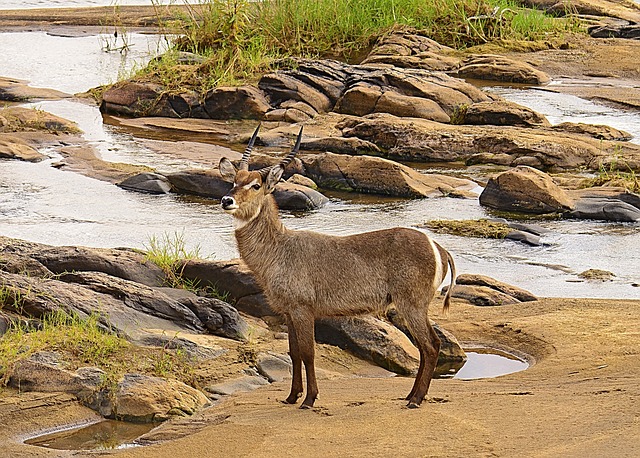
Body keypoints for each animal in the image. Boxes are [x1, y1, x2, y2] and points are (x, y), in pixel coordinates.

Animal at [219, 124, 456, 408]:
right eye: (234, 181)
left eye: (255, 185)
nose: (227, 200)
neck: (279, 248)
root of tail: (438, 247)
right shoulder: (288, 311)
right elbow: (293, 353)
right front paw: (291, 396)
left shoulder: (303, 309)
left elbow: (308, 354)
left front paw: (309, 399)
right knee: (424, 346)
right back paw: (410, 395)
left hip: (412, 303)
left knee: (431, 345)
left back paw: (416, 399)